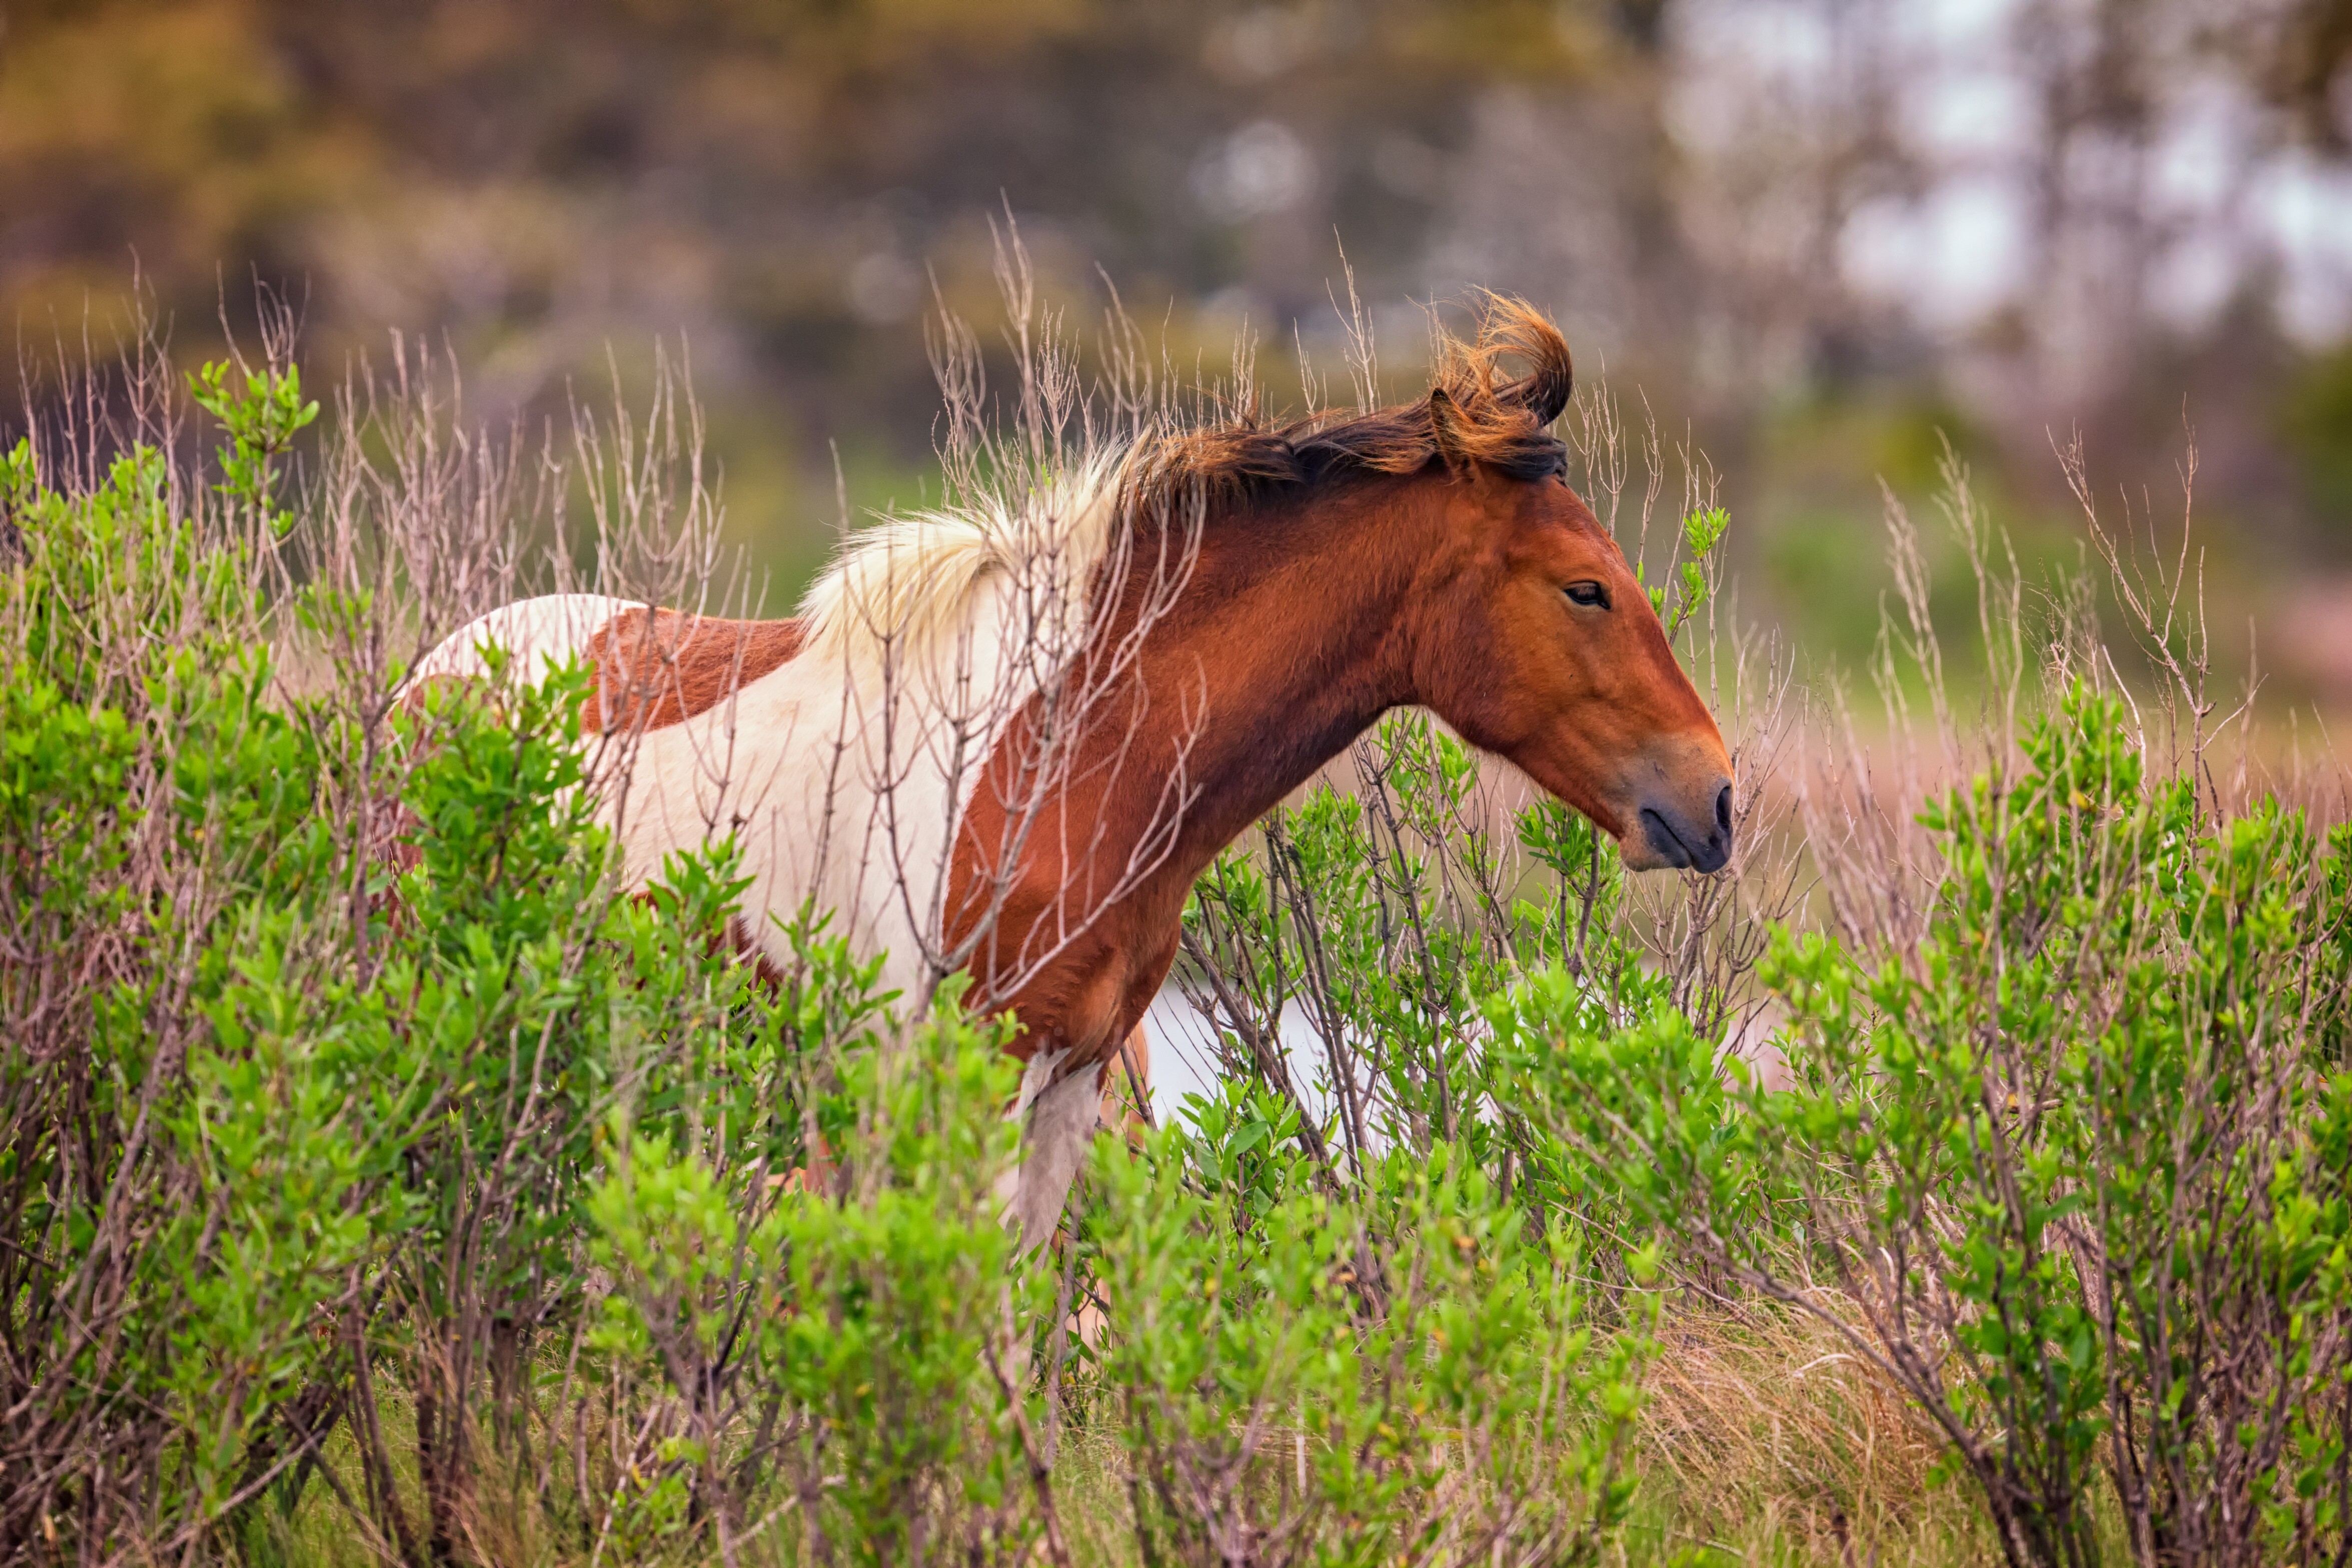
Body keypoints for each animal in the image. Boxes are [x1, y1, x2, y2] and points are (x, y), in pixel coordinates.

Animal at [400, 301, 1731, 1241]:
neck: (1071, 748)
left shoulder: (1070, 1085)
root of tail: (433, 673)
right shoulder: (969, 1079)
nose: (1713, 797)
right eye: (1584, 588)